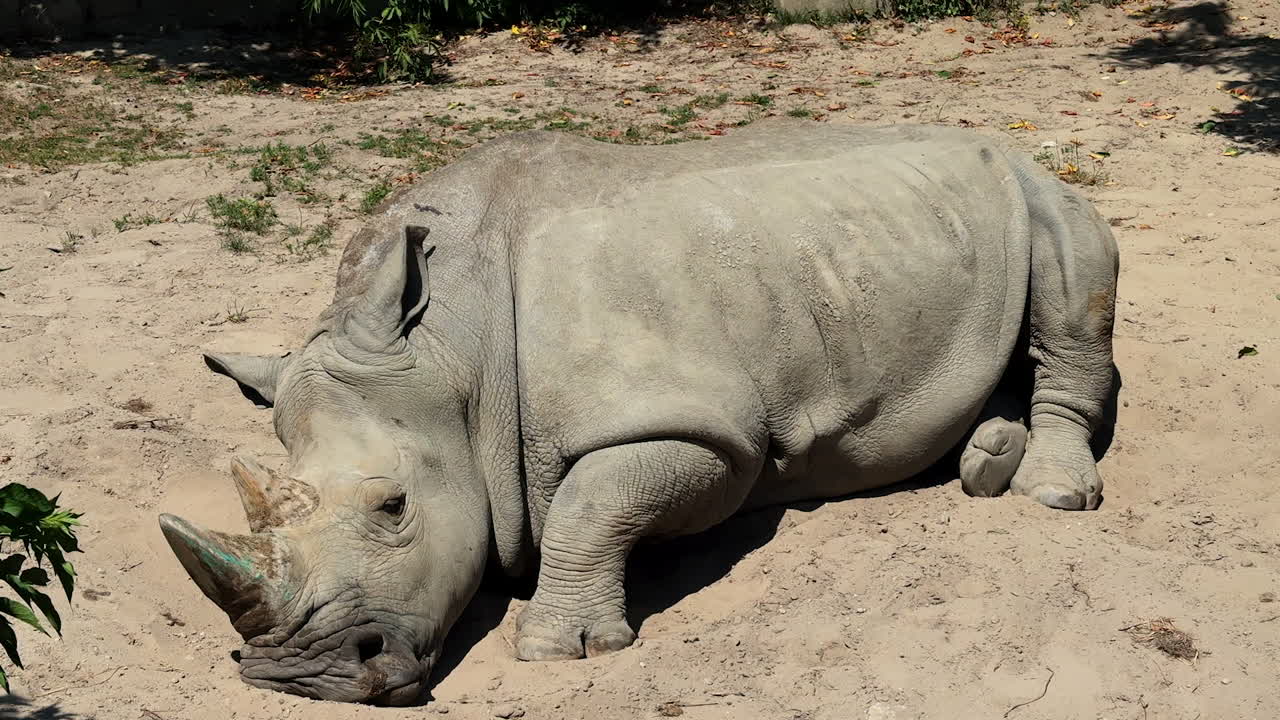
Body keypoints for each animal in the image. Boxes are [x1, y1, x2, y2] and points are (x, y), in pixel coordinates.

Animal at [158, 120, 1118, 705]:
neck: (453, 353)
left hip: (1036, 188)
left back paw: (1050, 494)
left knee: (1074, 281)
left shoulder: (708, 433)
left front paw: (561, 649)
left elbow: (594, 503)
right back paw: (987, 460)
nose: (297, 677)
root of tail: (999, 141)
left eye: (394, 507)